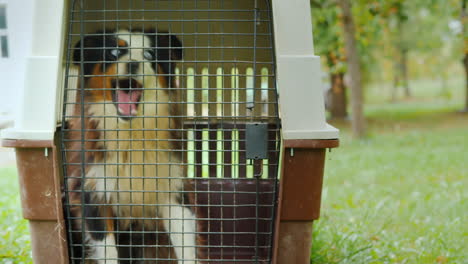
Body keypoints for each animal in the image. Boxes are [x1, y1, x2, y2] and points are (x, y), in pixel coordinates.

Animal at [64, 28, 197, 264]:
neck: (131, 131)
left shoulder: (172, 186)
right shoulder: (93, 190)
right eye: (115, 52)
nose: (133, 64)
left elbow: (185, 242)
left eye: (149, 54)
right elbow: (107, 249)